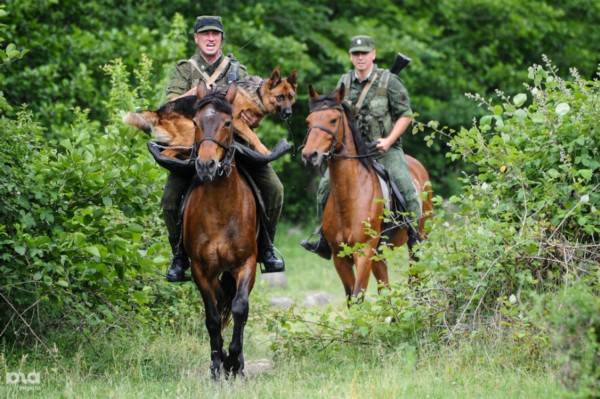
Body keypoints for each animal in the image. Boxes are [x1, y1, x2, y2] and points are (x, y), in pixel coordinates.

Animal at [123, 67, 298, 158]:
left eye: (290, 97)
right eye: (280, 97)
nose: (289, 113)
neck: (256, 93)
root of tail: (159, 112)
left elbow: (251, 135)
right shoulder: (238, 121)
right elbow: (253, 136)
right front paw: (265, 151)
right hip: (189, 135)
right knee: (165, 152)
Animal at [302, 83, 434, 304]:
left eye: (333, 120)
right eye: (309, 121)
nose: (309, 155)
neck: (349, 196)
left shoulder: (364, 251)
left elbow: (358, 296)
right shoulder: (340, 256)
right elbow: (352, 299)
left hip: (417, 242)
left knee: (415, 280)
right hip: (379, 255)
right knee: (386, 289)